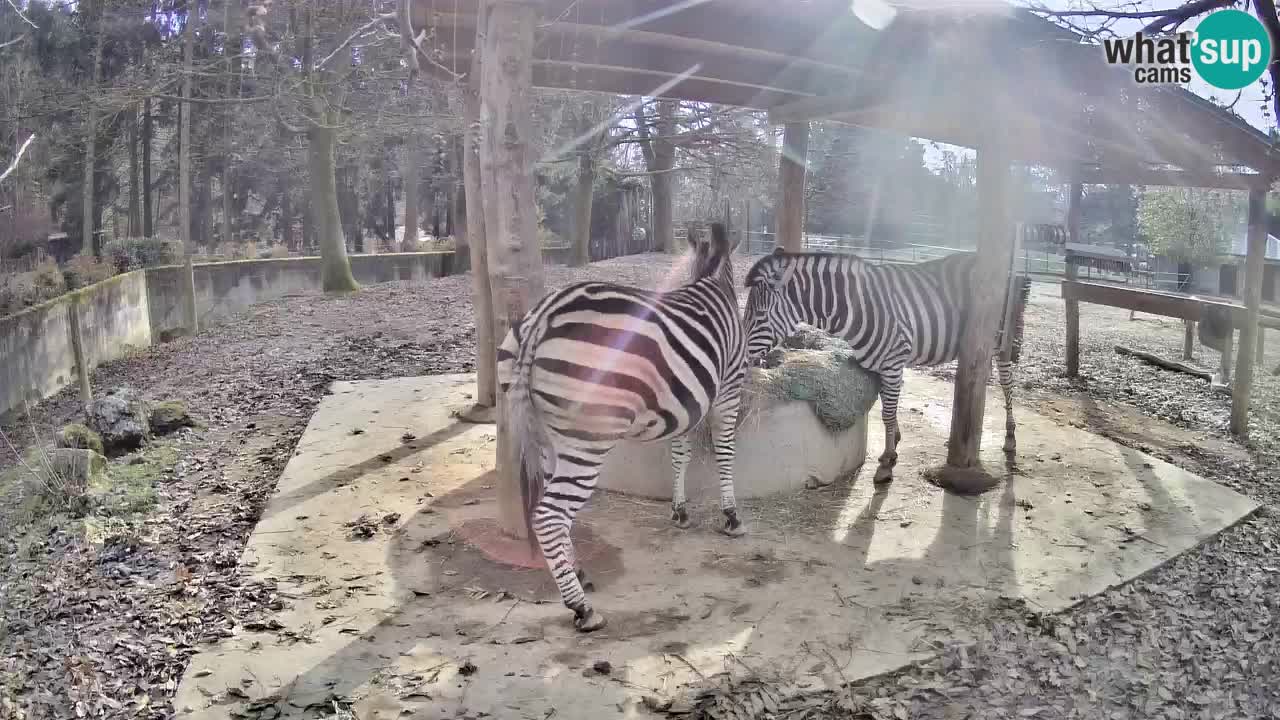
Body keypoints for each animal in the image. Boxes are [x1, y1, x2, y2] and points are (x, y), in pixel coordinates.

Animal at [491, 220, 747, 627]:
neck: (710, 278)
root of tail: (542, 319)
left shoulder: (687, 402)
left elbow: (680, 454)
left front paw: (680, 511)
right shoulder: (728, 388)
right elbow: (724, 453)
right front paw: (731, 516)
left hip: (548, 437)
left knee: (552, 510)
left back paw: (578, 573)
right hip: (587, 440)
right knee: (548, 516)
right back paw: (581, 608)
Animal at [742, 244, 1029, 481]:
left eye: (759, 315)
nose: (743, 359)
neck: (856, 309)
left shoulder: (892, 361)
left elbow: (888, 411)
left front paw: (887, 462)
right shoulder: (881, 364)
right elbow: (886, 408)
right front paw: (894, 443)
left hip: (1000, 340)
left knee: (1007, 382)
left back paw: (1010, 436)